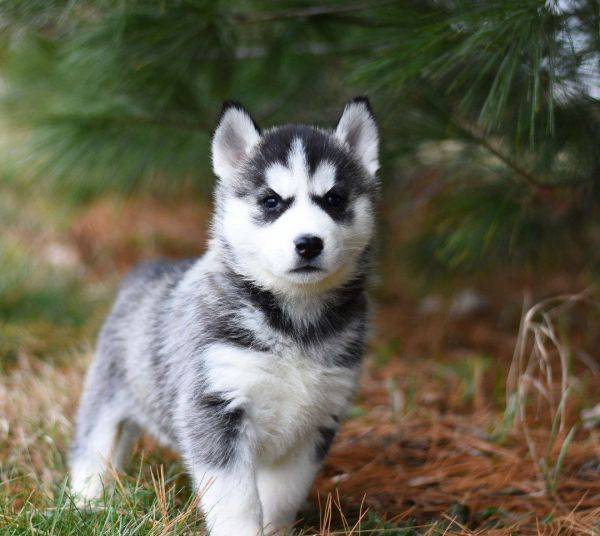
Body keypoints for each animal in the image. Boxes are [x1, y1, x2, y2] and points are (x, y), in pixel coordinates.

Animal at [70, 98, 378, 532]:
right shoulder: (215, 410)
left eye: (333, 199)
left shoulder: (316, 422)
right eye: (271, 201)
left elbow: (282, 496)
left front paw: (275, 530)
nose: (308, 243)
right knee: (91, 446)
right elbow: (237, 501)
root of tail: (147, 269)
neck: (295, 322)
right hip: (107, 393)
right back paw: (88, 503)